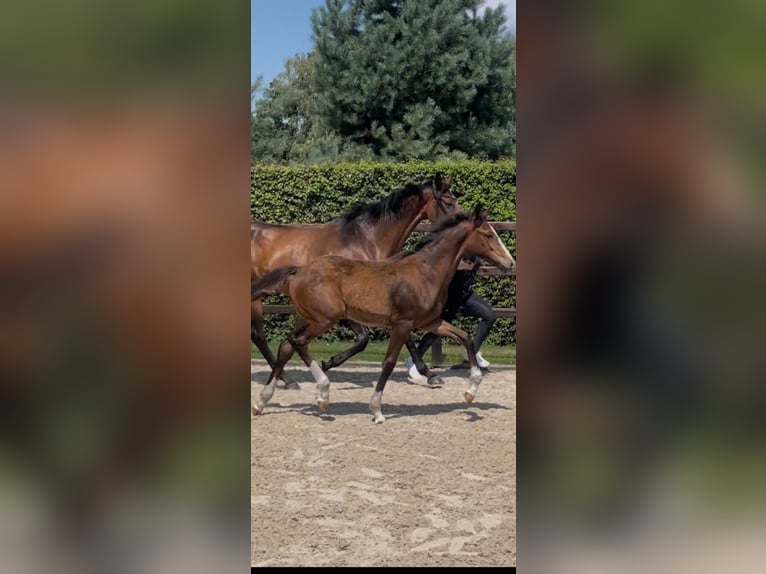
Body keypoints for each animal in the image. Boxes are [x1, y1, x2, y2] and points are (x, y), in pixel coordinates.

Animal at [251, 175, 458, 386]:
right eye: (449, 202)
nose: (461, 221)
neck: (366, 241)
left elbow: (404, 337)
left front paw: (430, 374)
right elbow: (364, 339)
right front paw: (328, 363)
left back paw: (288, 378)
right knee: (259, 335)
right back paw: (288, 379)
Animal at [251, 204, 515, 423]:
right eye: (488, 234)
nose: (509, 262)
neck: (426, 271)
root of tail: (299, 270)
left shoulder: (432, 322)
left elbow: (466, 337)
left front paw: (471, 390)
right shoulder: (403, 324)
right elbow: (388, 363)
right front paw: (377, 410)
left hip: (307, 317)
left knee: (287, 345)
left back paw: (263, 401)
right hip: (325, 319)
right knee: (295, 341)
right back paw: (322, 391)